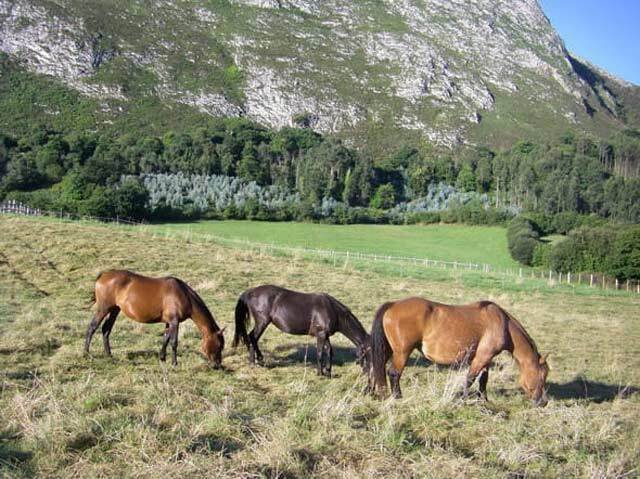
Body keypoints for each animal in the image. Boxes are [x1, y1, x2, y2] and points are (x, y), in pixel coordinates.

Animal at [85, 272, 225, 370]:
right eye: (219, 345)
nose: (217, 366)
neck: (183, 294)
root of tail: (103, 275)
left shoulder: (169, 322)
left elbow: (165, 339)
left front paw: (162, 358)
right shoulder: (175, 322)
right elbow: (174, 342)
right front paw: (174, 363)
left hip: (114, 309)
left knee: (106, 329)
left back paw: (109, 355)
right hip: (104, 309)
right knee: (92, 327)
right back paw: (86, 353)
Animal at [231, 284, 370, 378]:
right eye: (369, 354)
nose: (367, 373)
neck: (332, 310)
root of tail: (250, 292)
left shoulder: (325, 335)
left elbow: (329, 351)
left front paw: (328, 372)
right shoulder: (321, 334)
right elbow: (320, 352)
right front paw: (320, 373)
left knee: (252, 338)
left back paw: (256, 361)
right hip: (262, 322)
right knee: (253, 338)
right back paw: (256, 361)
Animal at [370, 298, 552, 406]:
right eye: (541, 376)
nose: (543, 402)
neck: (502, 323)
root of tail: (393, 304)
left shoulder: (486, 358)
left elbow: (483, 380)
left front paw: (484, 400)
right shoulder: (482, 356)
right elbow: (470, 378)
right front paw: (464, 400)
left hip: (388, 351)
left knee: (376, 369)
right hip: (402, 352)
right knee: (394, 373)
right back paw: (397, 397)